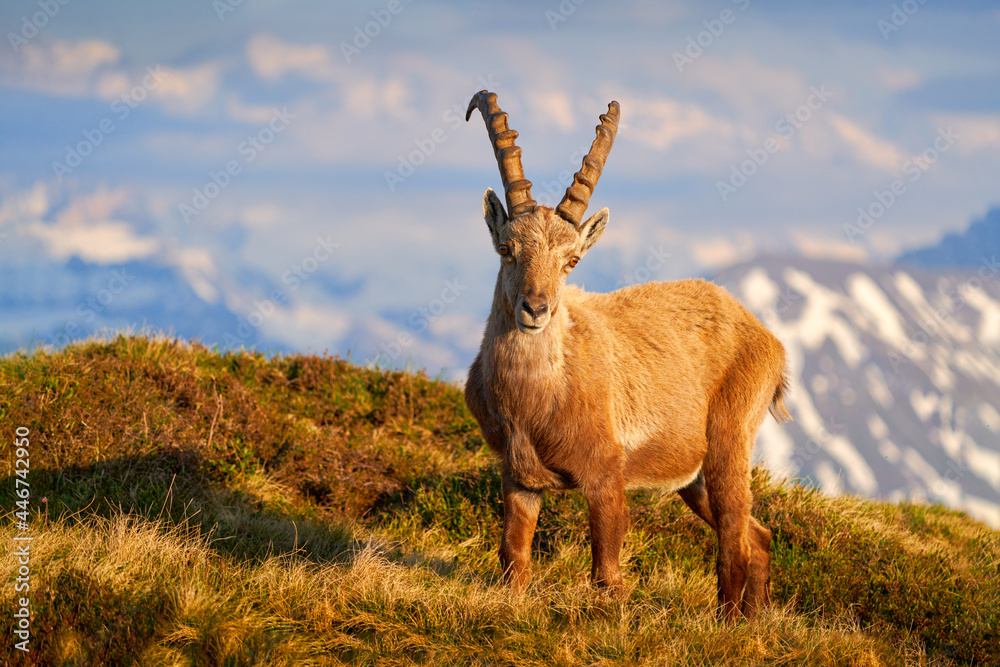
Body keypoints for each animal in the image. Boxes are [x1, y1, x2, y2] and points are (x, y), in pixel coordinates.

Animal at [463, 90, 790, 621]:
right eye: (507, 249)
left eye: (571, 261)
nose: (536, 309)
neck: (533, 400)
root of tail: (766, 338)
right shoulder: (518, 477)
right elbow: (513, 556)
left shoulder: (605, 474)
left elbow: (607, 576)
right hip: (692, 478)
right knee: (755, 537)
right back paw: (753, 621)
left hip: (730, 439)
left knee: (734, 546)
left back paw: (727, 624)